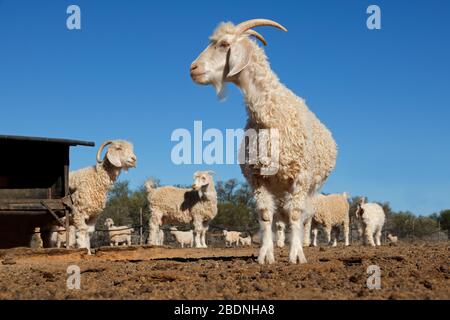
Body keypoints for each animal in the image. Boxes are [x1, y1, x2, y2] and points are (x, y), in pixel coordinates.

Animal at [192, 20, 336, 264]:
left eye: (224, 44)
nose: (192, 68)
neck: (272, 114)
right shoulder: (258, 178)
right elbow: (266, 216)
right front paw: (265, 255)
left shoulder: (300, 177)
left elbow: (295, 216)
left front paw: (296, 255)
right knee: (280, 218)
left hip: (310, 189)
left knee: (302, 217)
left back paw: (302, 244)